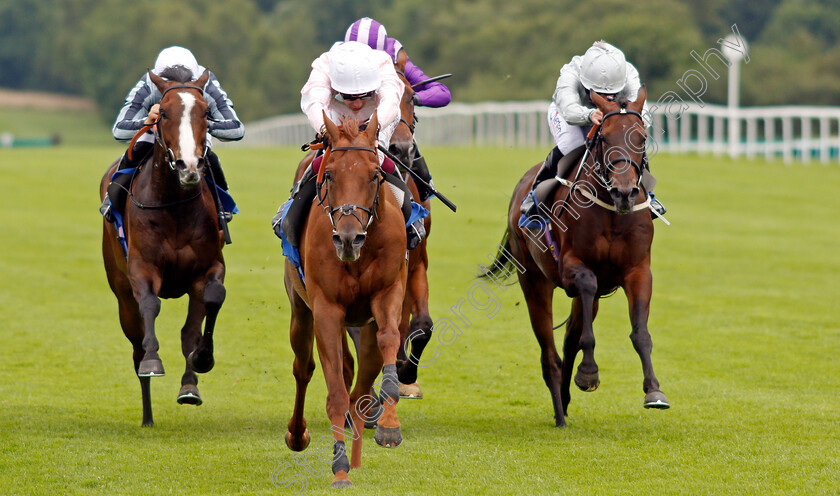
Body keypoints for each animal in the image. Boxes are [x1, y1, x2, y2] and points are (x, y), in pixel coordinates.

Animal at [99, 69, 226, 426]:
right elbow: (150, 306)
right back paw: (147, 415)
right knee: (136, 344)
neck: (173, 206)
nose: (189, 166)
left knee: (186, 331)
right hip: (121, 294)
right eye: (164, 113)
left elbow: (208, 307)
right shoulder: (141, 269)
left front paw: (200, 365)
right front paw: (153, 362)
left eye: (206, 113)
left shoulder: (207, 269)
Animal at [284, 110, 408, 486]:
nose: (349, 239)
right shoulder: (326, 308)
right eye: (331, 174)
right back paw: (299, 435)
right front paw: (339, 469)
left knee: (362, 380)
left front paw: (389, 427)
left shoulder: (388, 292)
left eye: (374, 175)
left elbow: (389, 339)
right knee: (305, 368)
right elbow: (335, 391)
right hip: (300, 310)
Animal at [486, 88, 668, 426]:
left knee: (570, 337)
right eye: (605, 138)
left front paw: (654, 391)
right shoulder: (573, 268)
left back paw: (566, 399)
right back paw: (560, 412)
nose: (624, 192)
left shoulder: (638, 270)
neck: (612, 213)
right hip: (534, 281)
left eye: (642, 137)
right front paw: (588, 373)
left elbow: (640, 332)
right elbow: (585, 296)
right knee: (549, 352)